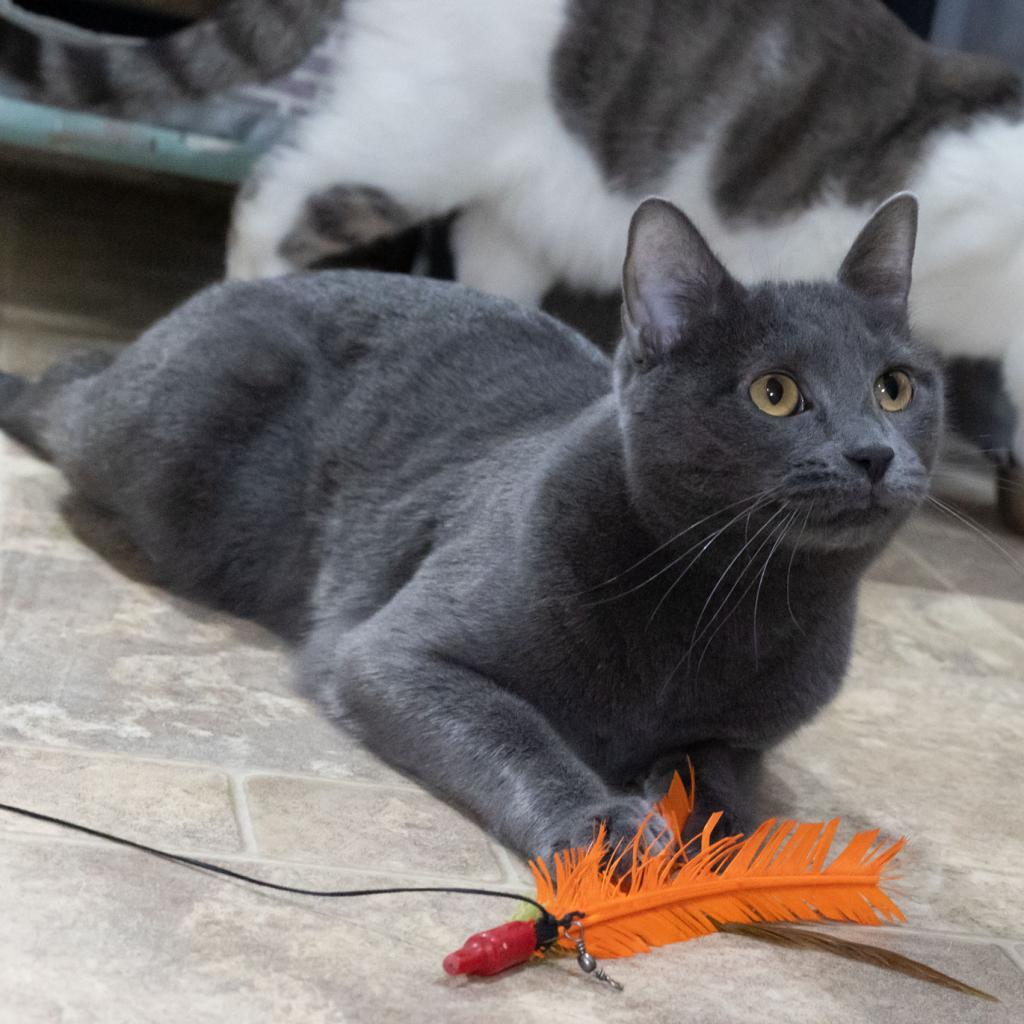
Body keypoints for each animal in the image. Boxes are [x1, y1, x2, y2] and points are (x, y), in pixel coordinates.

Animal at [0, 195, 937, 860]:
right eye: (774, 393)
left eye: (895, 387)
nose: (872, 451)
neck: (726, 604)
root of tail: (242, 284)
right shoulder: (399, 653)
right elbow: (514, 728)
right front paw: (605, 821)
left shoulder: (743, 738)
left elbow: (721, 781)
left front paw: (712, 839)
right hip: (172, 438)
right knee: (70, 391)